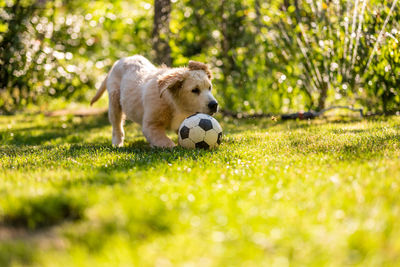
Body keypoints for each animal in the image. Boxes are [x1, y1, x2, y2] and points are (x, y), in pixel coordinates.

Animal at [90, 55, 219, 149]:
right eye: (195, 90)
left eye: (209, 88)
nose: (214, 105)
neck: (175, 104)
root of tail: (119, 61)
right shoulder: (151, 125)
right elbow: (163, 140)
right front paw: (171, 146)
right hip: (114, 101)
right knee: (117, 125)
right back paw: (117, 143)